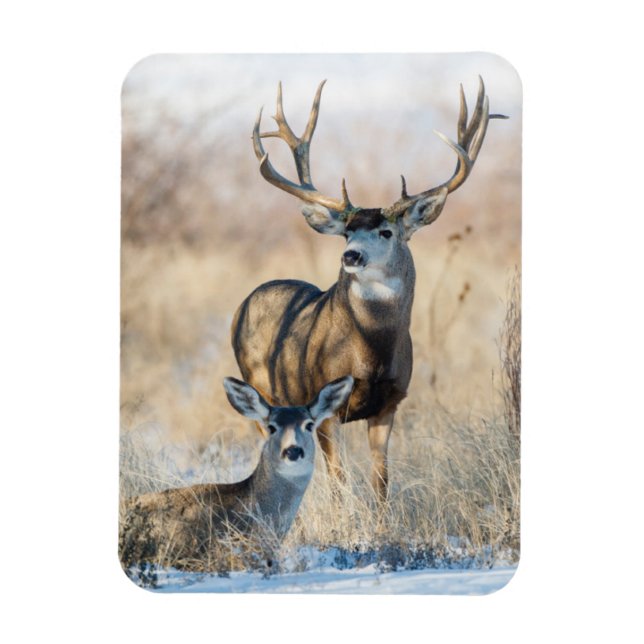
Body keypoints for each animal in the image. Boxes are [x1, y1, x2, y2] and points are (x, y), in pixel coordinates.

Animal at [231, 77, 507, 503]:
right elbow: (339, 481)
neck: (371, 353)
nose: (351, 255)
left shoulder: (390, 402)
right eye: (347, 231)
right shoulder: (324, 405)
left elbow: (381, 481)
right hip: (261, 388)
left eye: (386, 231)